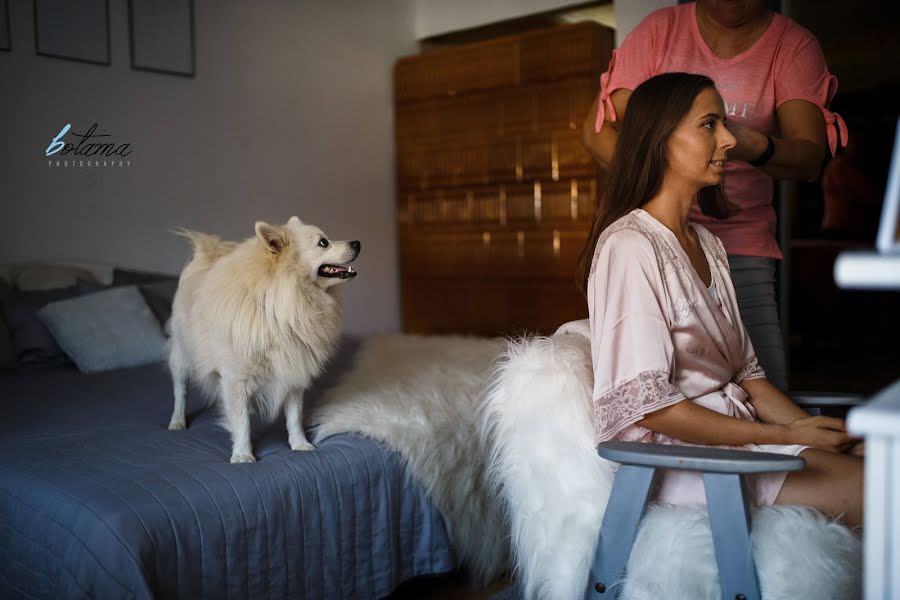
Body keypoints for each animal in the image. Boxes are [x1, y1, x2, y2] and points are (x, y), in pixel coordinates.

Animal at [165, 217, 358, 464]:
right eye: (323, 242)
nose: (357, 243)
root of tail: (202, 259)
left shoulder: (293, 373)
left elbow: (294, 417)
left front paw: (300, 445)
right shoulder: (235, 379)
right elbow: (241, 422)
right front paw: (242, 454)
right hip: (180, 359)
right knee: (180, 392)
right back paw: (177, 421)